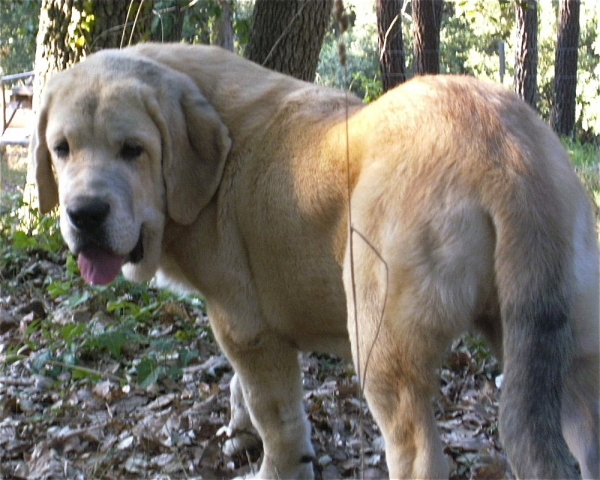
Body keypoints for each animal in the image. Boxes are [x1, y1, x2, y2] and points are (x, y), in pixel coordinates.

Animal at [34, 43, 600, 478]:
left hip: (381, 349)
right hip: (564, 352)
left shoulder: (244, 328)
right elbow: (249, 396)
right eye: (61, 148)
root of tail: (505, 146)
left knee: (418, 454)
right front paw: (242, 431)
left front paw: (275, 465)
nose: (85, 214)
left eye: (133, 150)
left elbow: (276, 415)